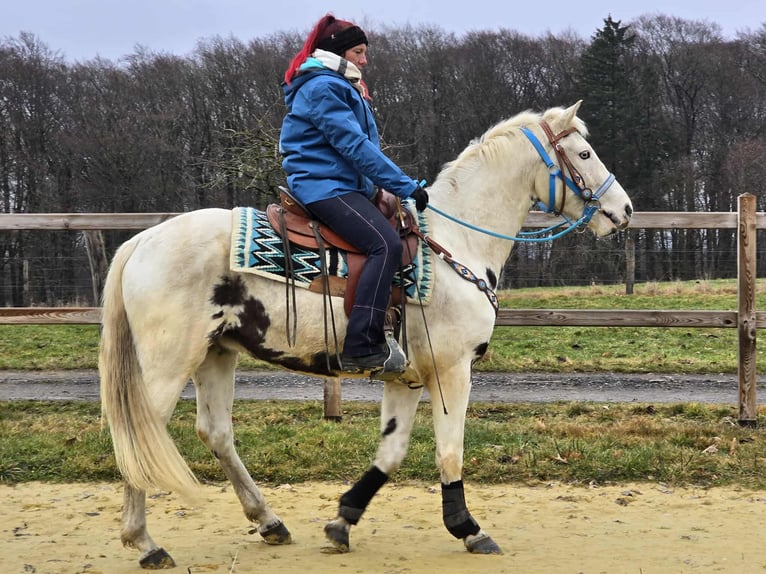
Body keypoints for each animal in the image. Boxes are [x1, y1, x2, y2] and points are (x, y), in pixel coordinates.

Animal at [99, 100, 633, 568]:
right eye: (585, 153)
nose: (624, 209)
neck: (456, 242)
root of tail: (143, 239)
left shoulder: (407, 379)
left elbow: (390, 454)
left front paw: (342, 522)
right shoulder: (452, 372)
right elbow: (450, 452)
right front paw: (468, 528)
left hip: (216, 355)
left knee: (216, 433)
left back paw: (270, 522)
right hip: (169, 362)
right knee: (142, 434)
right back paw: (146, 544)